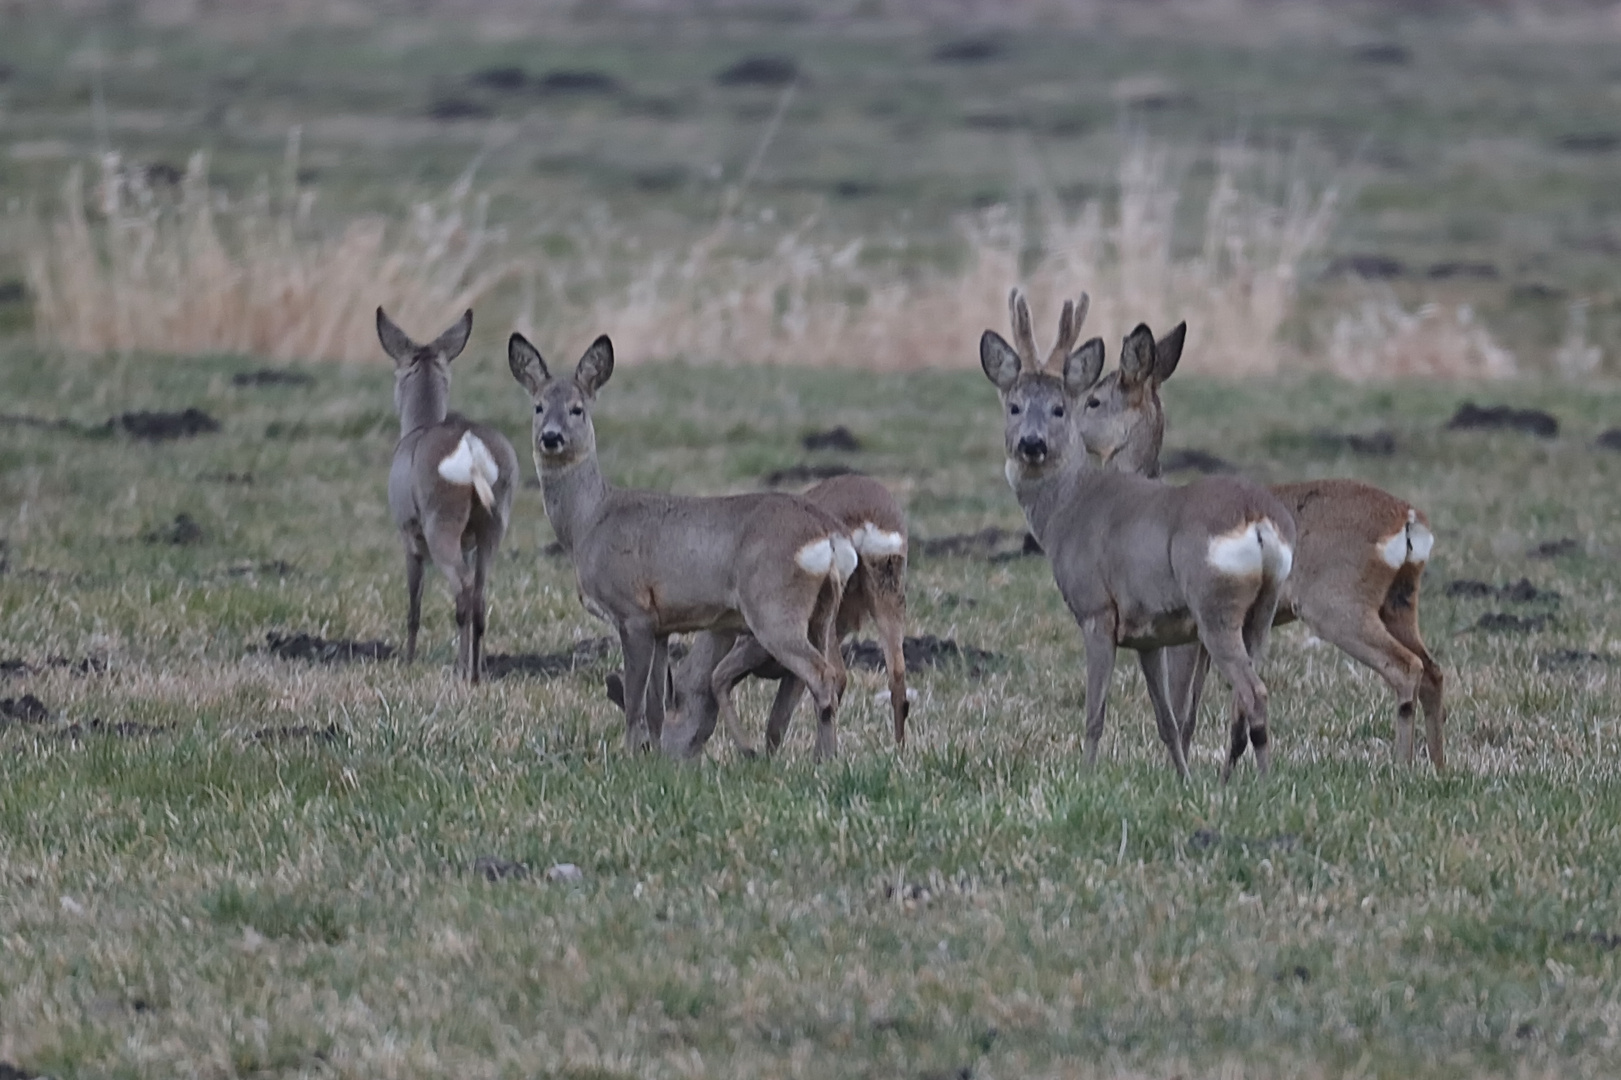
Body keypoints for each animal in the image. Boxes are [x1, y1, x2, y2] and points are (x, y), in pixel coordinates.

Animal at [376, 306, 515, 677]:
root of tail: (470, 447)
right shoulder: (469, 542)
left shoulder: (408, 536)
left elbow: (413, 605)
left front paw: (408, 661)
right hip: (493, 522)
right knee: (479, 592)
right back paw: (475, 672)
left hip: (441, 522)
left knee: (463, 589)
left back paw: (465, 671)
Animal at [508, 332, 862, 752]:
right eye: (538, 407)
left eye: (577, 409)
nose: (551, 437)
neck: (588, 522)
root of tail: (831, 534)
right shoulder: (662, 624)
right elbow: (656, 706)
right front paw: (654, 757)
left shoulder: (633, 611)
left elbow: (634, 702)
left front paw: (629, 755)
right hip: (822, 612)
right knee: (836, 675)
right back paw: (824, 756)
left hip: (773, 606)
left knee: (822, 675)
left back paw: (817, 758)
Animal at [609, 470, 914, 755]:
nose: (666, 758)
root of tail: (866, 521)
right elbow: (777, 714)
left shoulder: (755, 641)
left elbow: (723, 681)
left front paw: (758, 756)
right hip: (883, 597)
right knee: (896, 676)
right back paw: (897, 751)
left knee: (837, 675)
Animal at [979, 290, 1296, 778]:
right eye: (1013, 407)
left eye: (1061, 408)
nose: (1032, 444)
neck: (1069, 508)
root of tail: (1258, 521)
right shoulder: (1149, 631)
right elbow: (1166, 720)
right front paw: (1183, 780)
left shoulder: (1096, 610)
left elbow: (1095, 713)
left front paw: (1086, 778)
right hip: (1260, 614)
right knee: (1244, 700)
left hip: (1214, 609)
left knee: (1253, 691)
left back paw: (1261, 782)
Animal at [1076, 319, 1445, 765]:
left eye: (1093, 400)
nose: (1040, 439)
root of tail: (1408, 519)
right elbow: (1192, 711)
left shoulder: (1185, 626)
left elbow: (1180, 707)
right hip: (1400, 602)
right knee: (1433, 670)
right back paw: (1438, 768)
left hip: (1337, 603)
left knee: (1406, 667)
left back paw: (1402, 766)